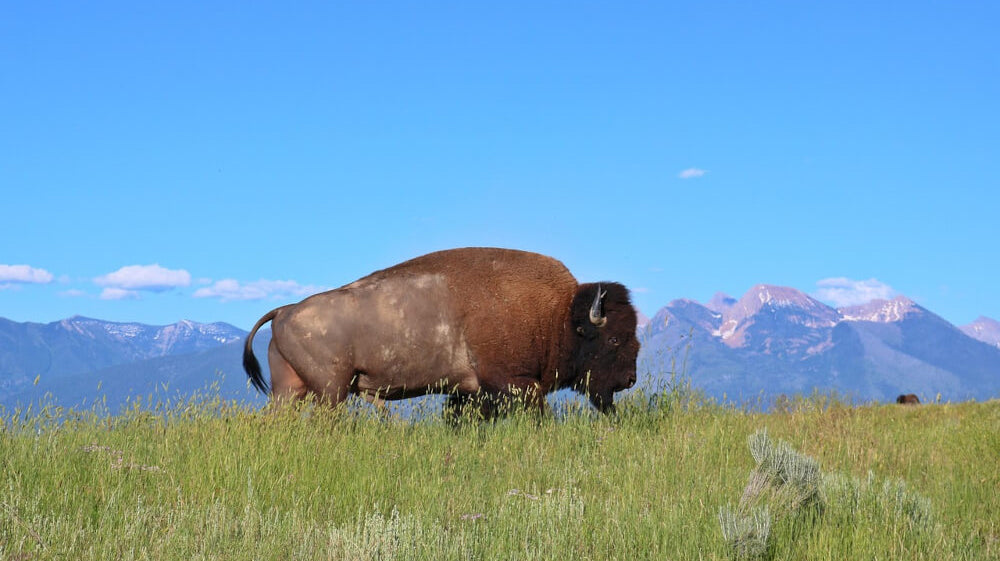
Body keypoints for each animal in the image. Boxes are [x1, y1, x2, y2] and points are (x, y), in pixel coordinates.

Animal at [243, 247, 640, 416]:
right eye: (614, 338)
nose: (630, 379)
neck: (556, 315)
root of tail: (285, 310)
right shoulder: (515, 384)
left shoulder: (469, 392)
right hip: (331, 390)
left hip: (290, 390)